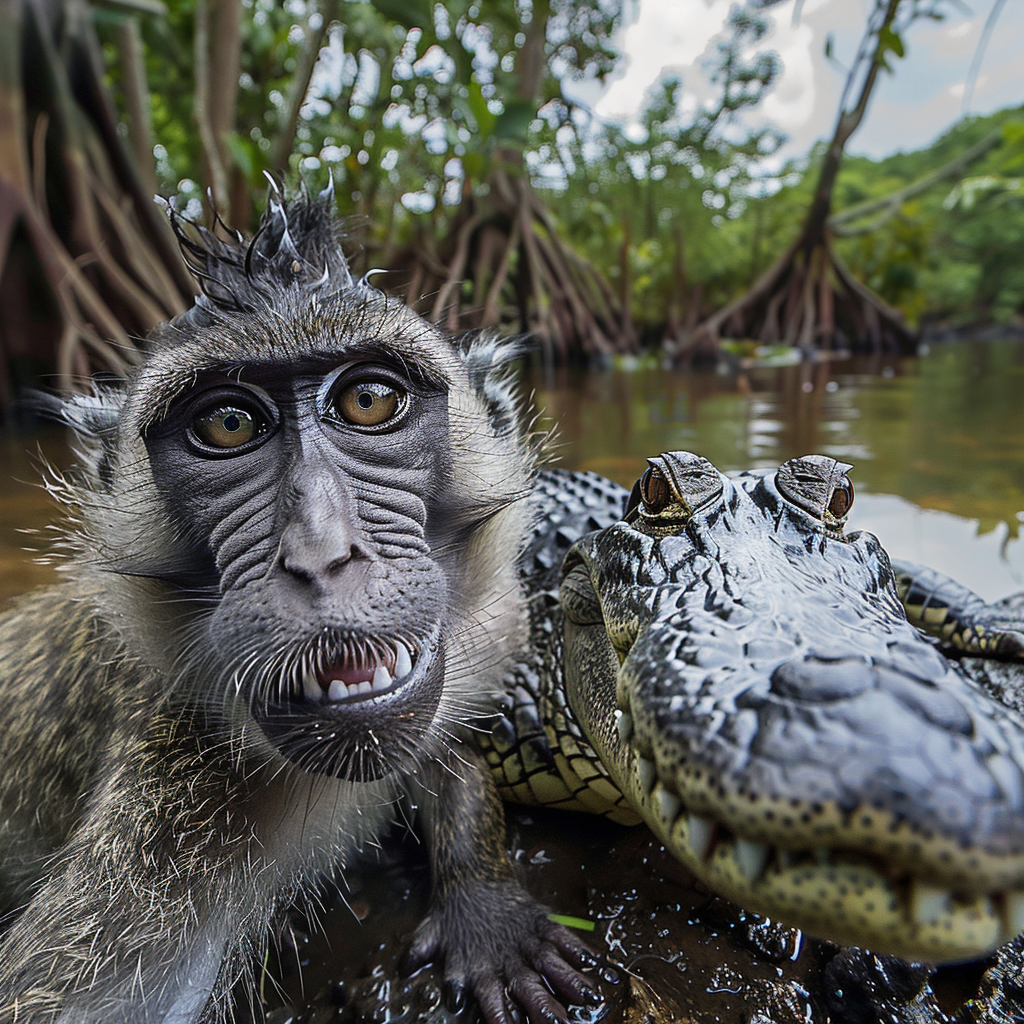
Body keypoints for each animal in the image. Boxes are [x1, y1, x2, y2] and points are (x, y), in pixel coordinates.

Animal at [0, 186, 598, 1024]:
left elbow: (450, 759)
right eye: (228, 423)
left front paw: (485, 906)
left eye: (369, 400)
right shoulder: (166, 807)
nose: (319, 556)